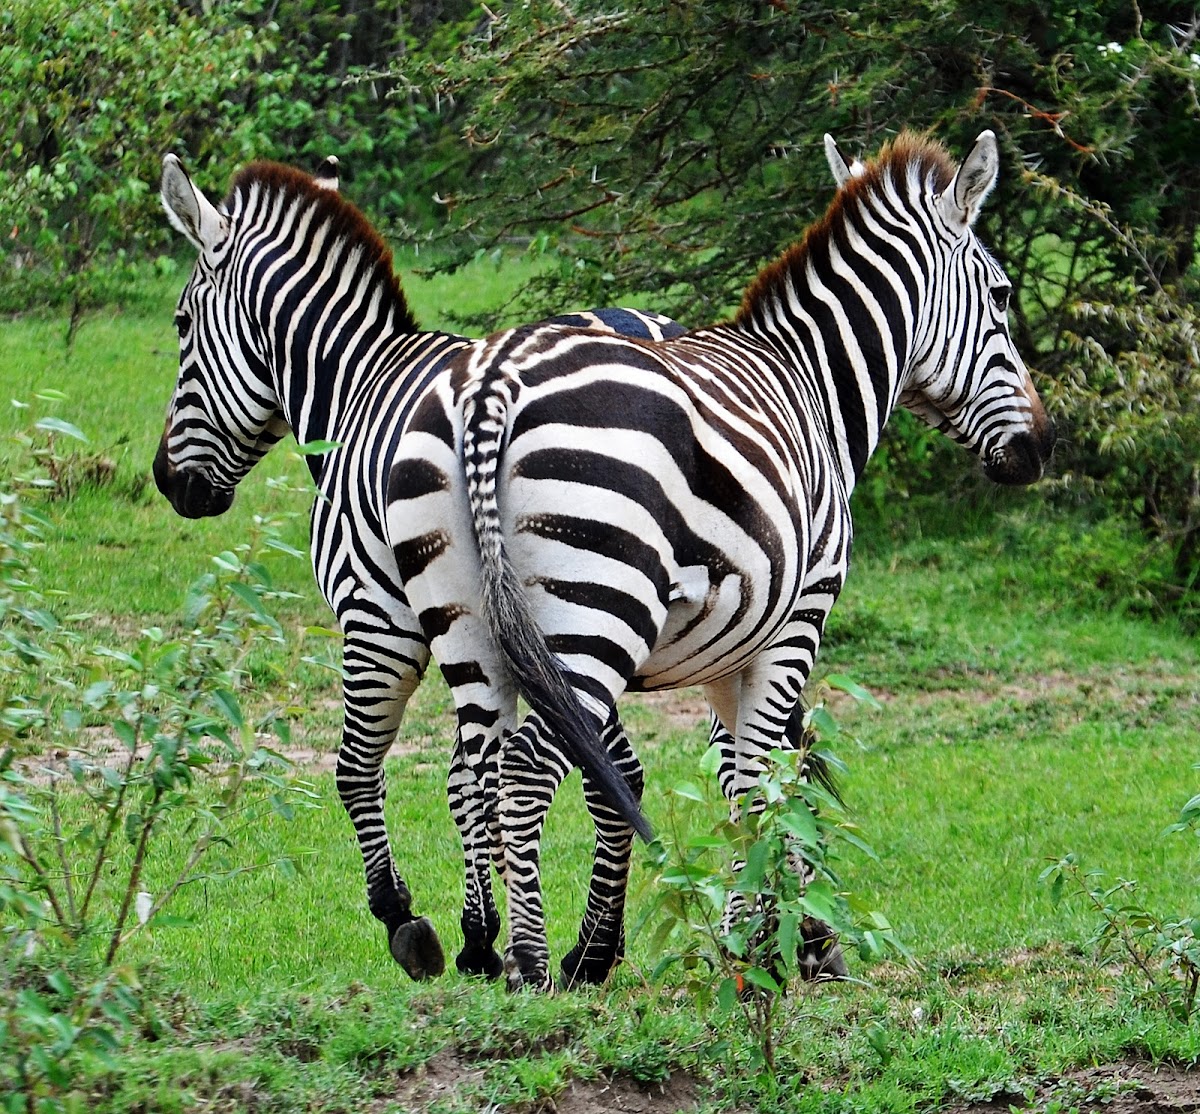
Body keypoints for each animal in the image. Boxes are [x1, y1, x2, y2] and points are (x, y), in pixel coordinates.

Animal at [154, 152, 683, 981]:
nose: (166, 483)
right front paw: (507, 937)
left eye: (180, 325)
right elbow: (505, 774)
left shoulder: (377, 616)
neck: (354, 390)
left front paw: (423, 924)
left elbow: (367, 767)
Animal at [385, 129, 1057, 991]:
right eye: (1002, 296)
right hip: (596, 609)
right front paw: (753, 947)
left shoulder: (727, 642)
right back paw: (531, 967)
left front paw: (799, 935)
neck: (813, 383)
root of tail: (494, 381)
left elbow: (756, 772)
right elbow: (764, 776)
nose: (1039, 448)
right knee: (530, 770)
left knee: (484, 769)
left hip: (465, 620)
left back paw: (492, 951)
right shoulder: (799, 616)